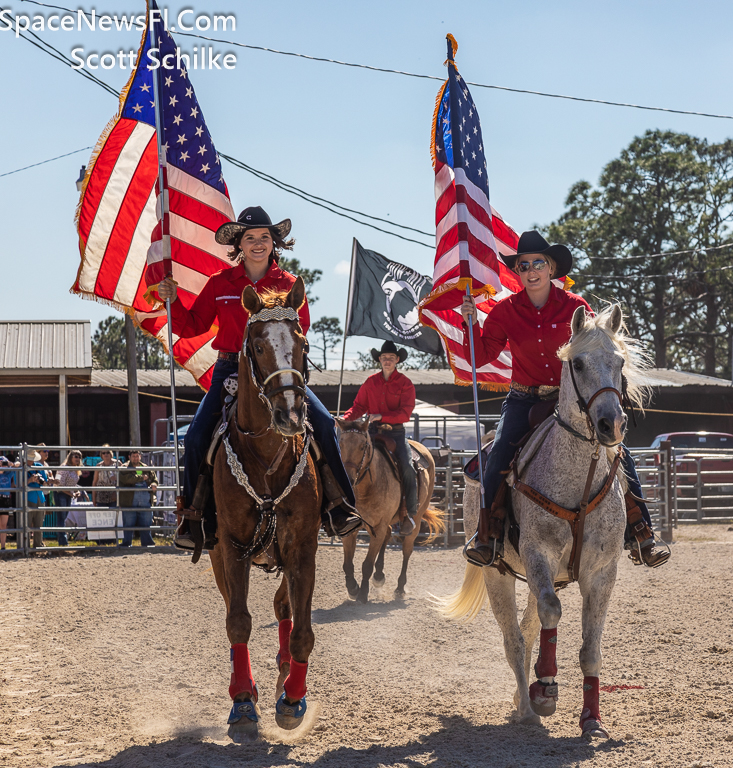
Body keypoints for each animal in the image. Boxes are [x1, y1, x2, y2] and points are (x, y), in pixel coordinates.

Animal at [434, 304, 648, 736]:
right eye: (578, 363)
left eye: (619, 362)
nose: (611, 425)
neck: (579, 481)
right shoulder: (538, 555)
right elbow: (552, 613)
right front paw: (545, 689)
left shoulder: (603, 570)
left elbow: (590, 649)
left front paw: (592, 720)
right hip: (498, 573)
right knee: (514, 638)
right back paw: (528, 708)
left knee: (529, 628)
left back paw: (523, 698)